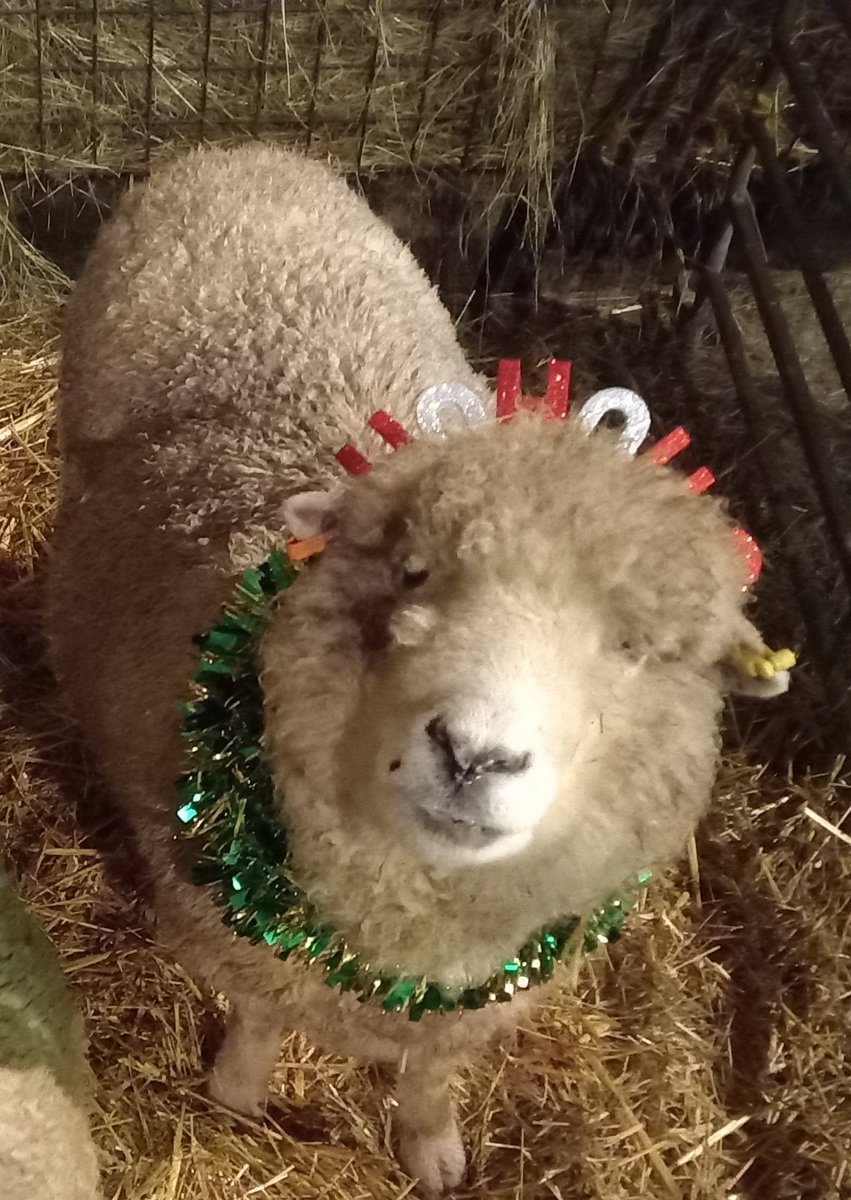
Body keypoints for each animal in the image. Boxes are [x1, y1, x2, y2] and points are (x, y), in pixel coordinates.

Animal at [48, 145, 792, 1195]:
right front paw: (237, 1094)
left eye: (635, 648)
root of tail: (246, 152)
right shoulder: (239, 931)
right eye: (413, 572)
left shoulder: (484, 992)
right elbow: (262, 1015)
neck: (414, 927)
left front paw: (431, 1145)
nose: (473, 755)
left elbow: (435, 1069)